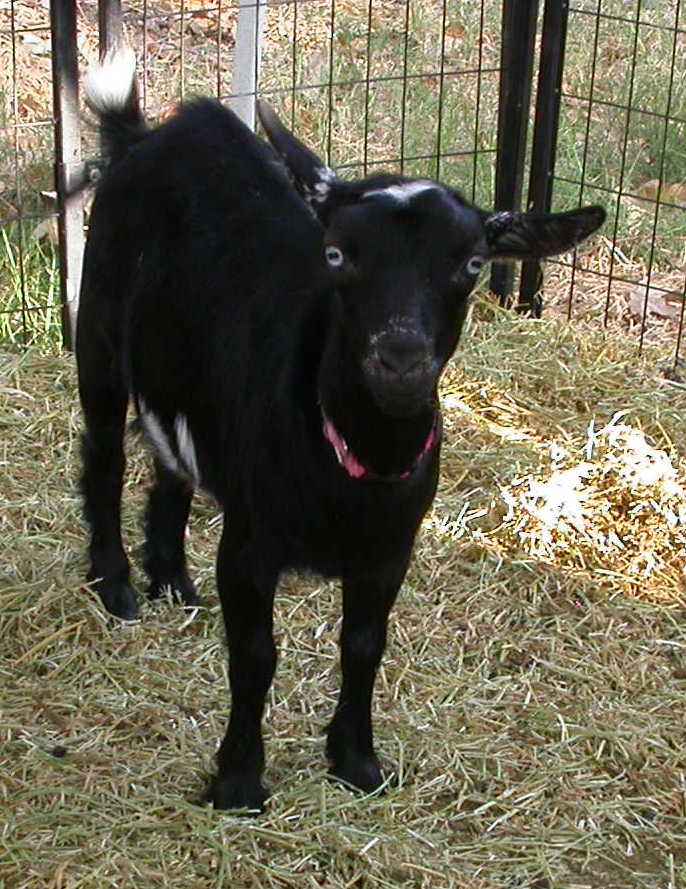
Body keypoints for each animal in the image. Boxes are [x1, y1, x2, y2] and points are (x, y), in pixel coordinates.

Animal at [77, 48, 605, 810]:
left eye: (473, 264)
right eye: (335, 255)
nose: (400, 356)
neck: (354, 464)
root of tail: (148, 134)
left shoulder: (390, 549)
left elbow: (363, 646)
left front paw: (356, 761)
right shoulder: (251, 541)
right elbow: (256, 655)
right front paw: (239, 780)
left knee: (170, 460)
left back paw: (171, 578)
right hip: (97, 325)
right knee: (104, 456)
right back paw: (114, 583)